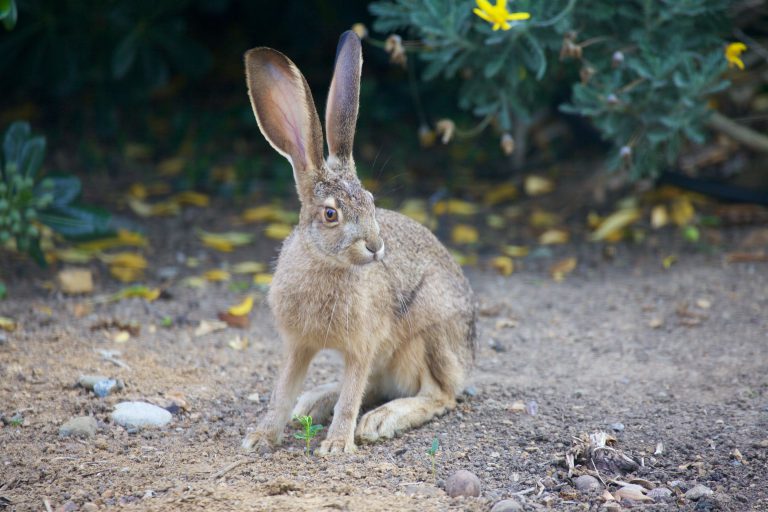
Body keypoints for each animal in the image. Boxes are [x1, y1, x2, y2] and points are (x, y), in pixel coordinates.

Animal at [241, 30, 476, 455]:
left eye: (370, 201)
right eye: (330, 214)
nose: (375, 246)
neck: (325, 264)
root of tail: (469, 355)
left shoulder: (362, 346)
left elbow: (352, 395)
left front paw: (336, 446)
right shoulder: (298, 345)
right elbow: (282, 392)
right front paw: (260, 438)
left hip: (428, 333)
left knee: (439, 394)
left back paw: (381, 420)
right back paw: (313, 402)